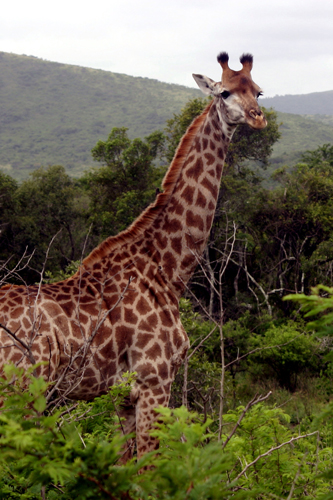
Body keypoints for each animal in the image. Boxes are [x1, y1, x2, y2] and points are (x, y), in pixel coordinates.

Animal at [0, 51, 264, 460]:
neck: (167, 268)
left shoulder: (123, 395)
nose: (257, 116)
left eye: (258, 91)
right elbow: (150, 464)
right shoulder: (154, 379)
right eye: (224, 92)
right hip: (21, 392)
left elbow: (127, 463)